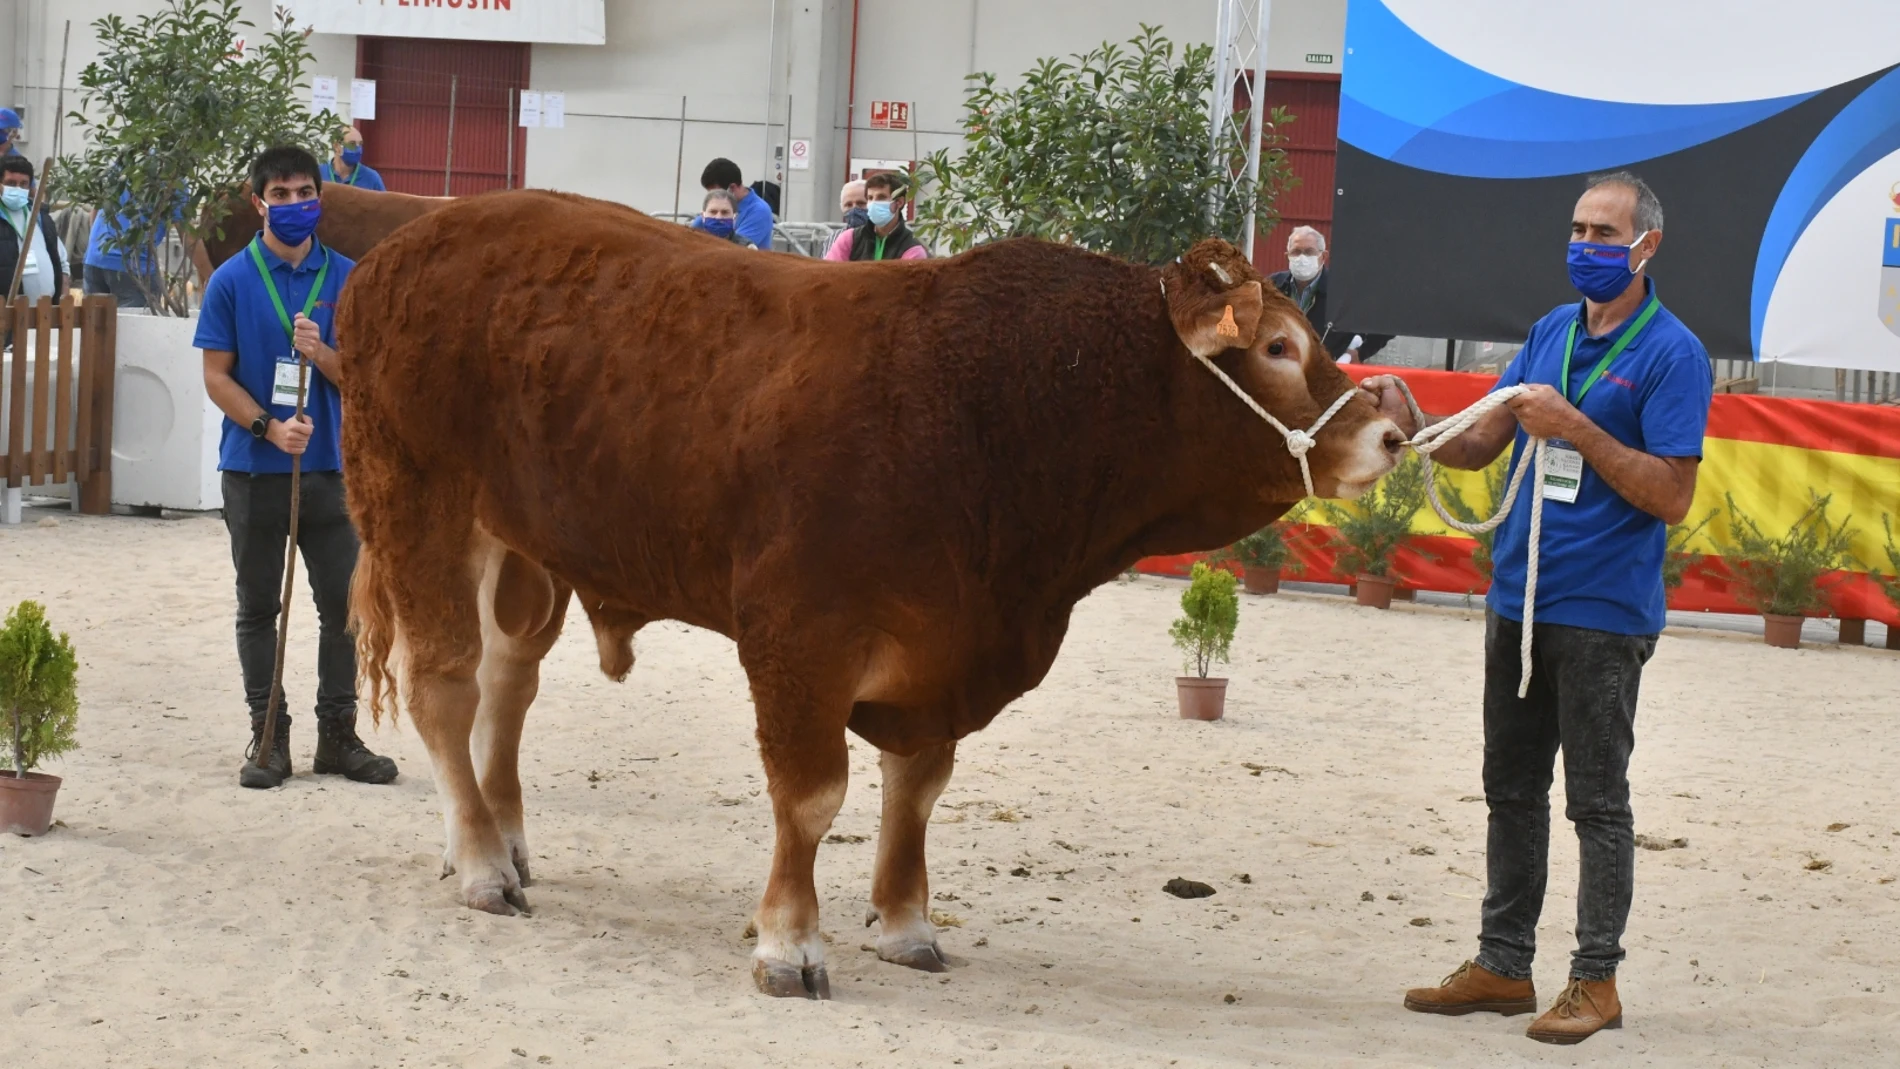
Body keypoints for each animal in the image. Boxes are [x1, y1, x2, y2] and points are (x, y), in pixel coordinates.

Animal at [334, 187, 1406, 1002]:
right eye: (1277, 347)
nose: (1390, 432)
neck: (996, 401)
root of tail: (409, 241)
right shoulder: (797, 637)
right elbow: (811, 796)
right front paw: (790, 942)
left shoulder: (944, 643)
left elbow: (916, 787)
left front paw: (905, 920)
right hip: (417, 503)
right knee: (447, 687)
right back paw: (482, 863)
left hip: (526, 549)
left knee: (508, 687)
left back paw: (500, 839)